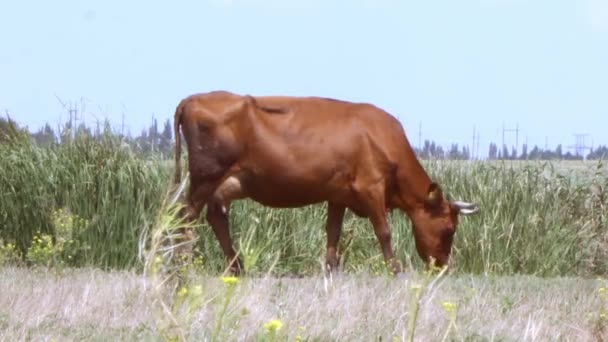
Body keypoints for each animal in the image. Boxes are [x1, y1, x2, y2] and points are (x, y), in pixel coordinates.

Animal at [172, 90, 480, 276]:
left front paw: (331, 271)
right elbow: (384, 231)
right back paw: (184, 265)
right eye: (450, 229)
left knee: (215, 216)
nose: (443, 267)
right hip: (205, 177)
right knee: (185, 216)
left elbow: (333, 234)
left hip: (226, 183)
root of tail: (193, 99)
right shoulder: (371, 188)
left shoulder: (338, 195)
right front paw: (395, 269)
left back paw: (236, 268)